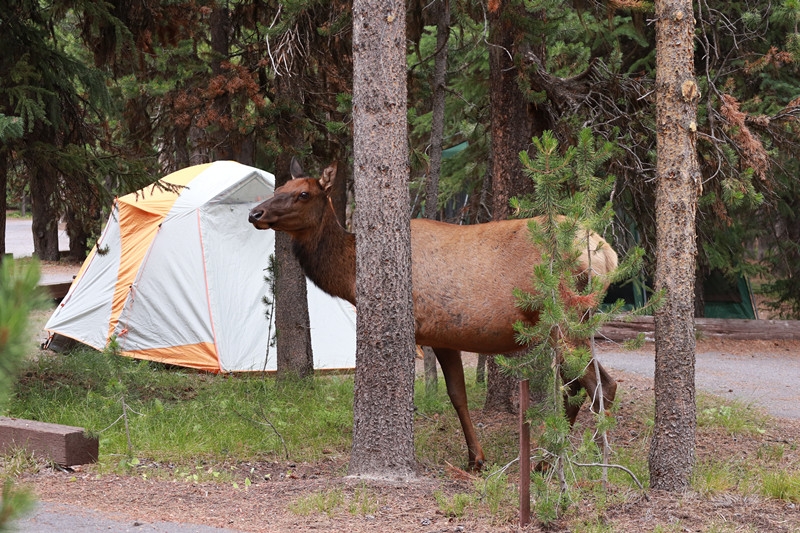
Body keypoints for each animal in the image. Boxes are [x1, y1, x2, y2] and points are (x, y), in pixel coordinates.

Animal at [248, 159, 620, 470]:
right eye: (280, 187)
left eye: (303, 194)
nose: (255, 213)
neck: (352, 276)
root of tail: (609, 256)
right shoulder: (444, 336)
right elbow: (457, 396)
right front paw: (475, 459)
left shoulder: (415, 331)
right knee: (586, 386)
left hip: (565, 318)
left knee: (594, 385)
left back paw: (580, 462)